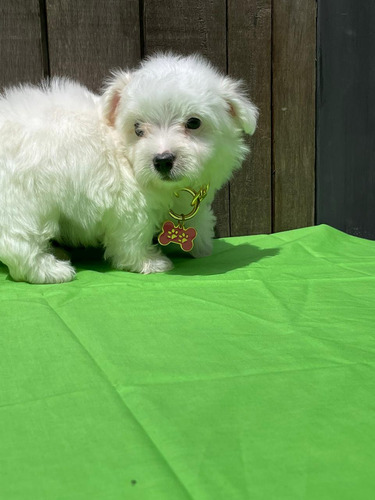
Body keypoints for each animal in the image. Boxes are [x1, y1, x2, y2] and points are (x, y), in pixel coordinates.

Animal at [0, 53, 258, 286]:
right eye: (137, 128)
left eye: (193, 122)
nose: (162, 160)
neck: (122, 149)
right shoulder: (130, 206)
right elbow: (132, 238)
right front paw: (148, 262)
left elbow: (198, 217)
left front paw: (202, 244)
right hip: (25, 201)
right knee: (18, 242)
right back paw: (49, 270)